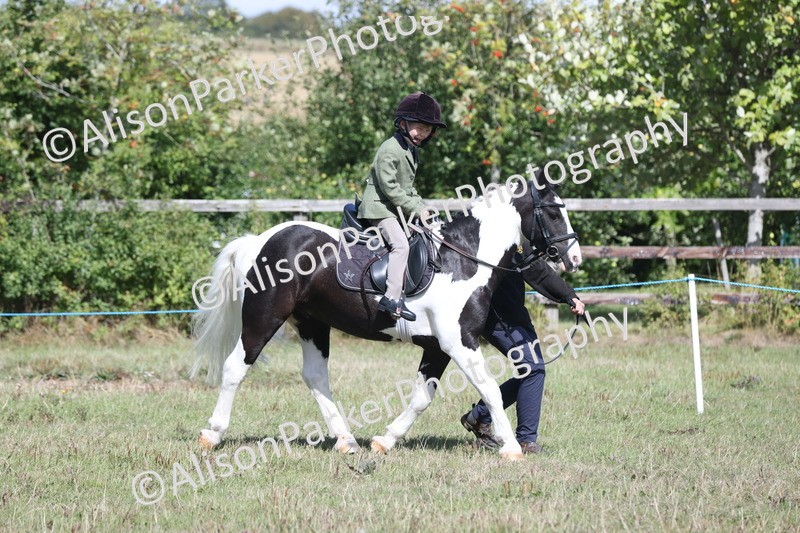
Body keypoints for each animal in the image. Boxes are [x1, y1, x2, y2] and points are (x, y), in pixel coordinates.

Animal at [190, 179, 582, 460]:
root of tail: (259, 241)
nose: (574, 257)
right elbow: (489, 389)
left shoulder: (438, 348)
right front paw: (512, 447)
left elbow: (422, 398)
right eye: (553, 213)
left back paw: (346, 441)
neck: (464, 260)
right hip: (264, 317)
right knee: (235, 367)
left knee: (315, 376)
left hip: (312, 322)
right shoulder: (460, 342)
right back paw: (211, 434)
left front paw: (385, 440)